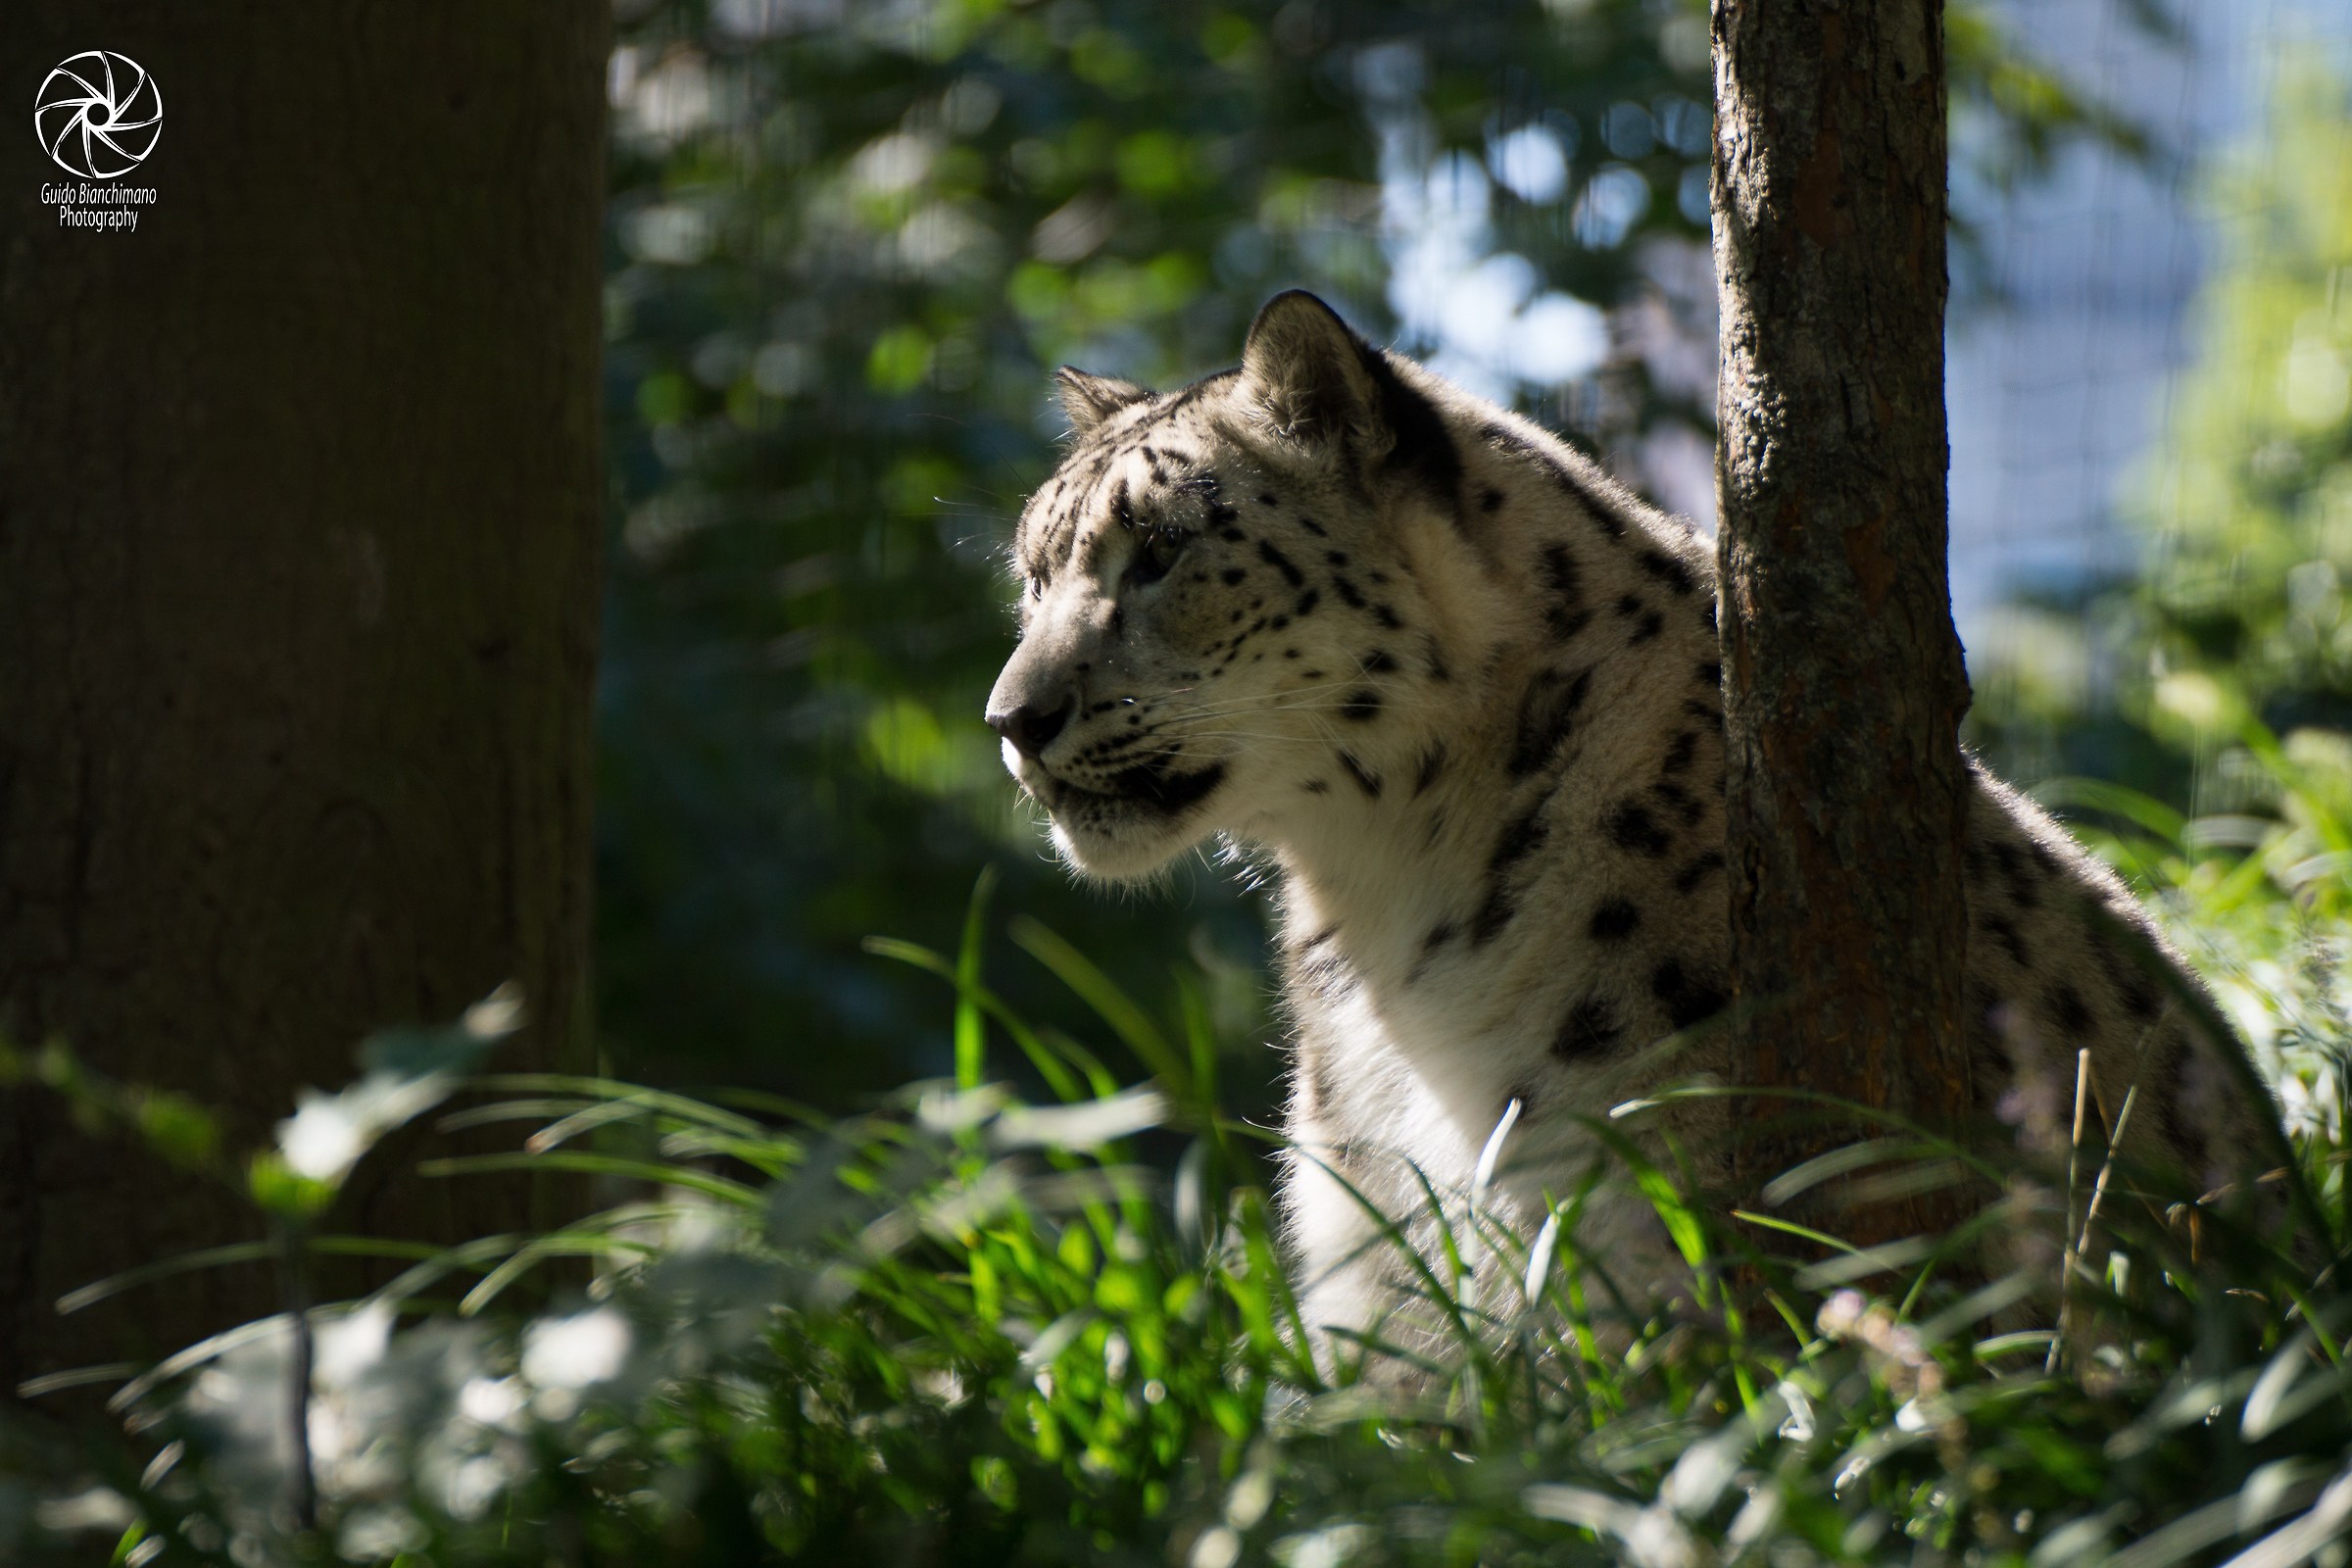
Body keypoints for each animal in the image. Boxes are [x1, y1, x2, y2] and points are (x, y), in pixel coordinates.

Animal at [984, 288, 2290, 1361]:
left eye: (1162, 550)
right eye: (1034, 575)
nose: (1011, 718)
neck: (1387, 923)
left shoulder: (1644, 1250)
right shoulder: (1377, 1277)